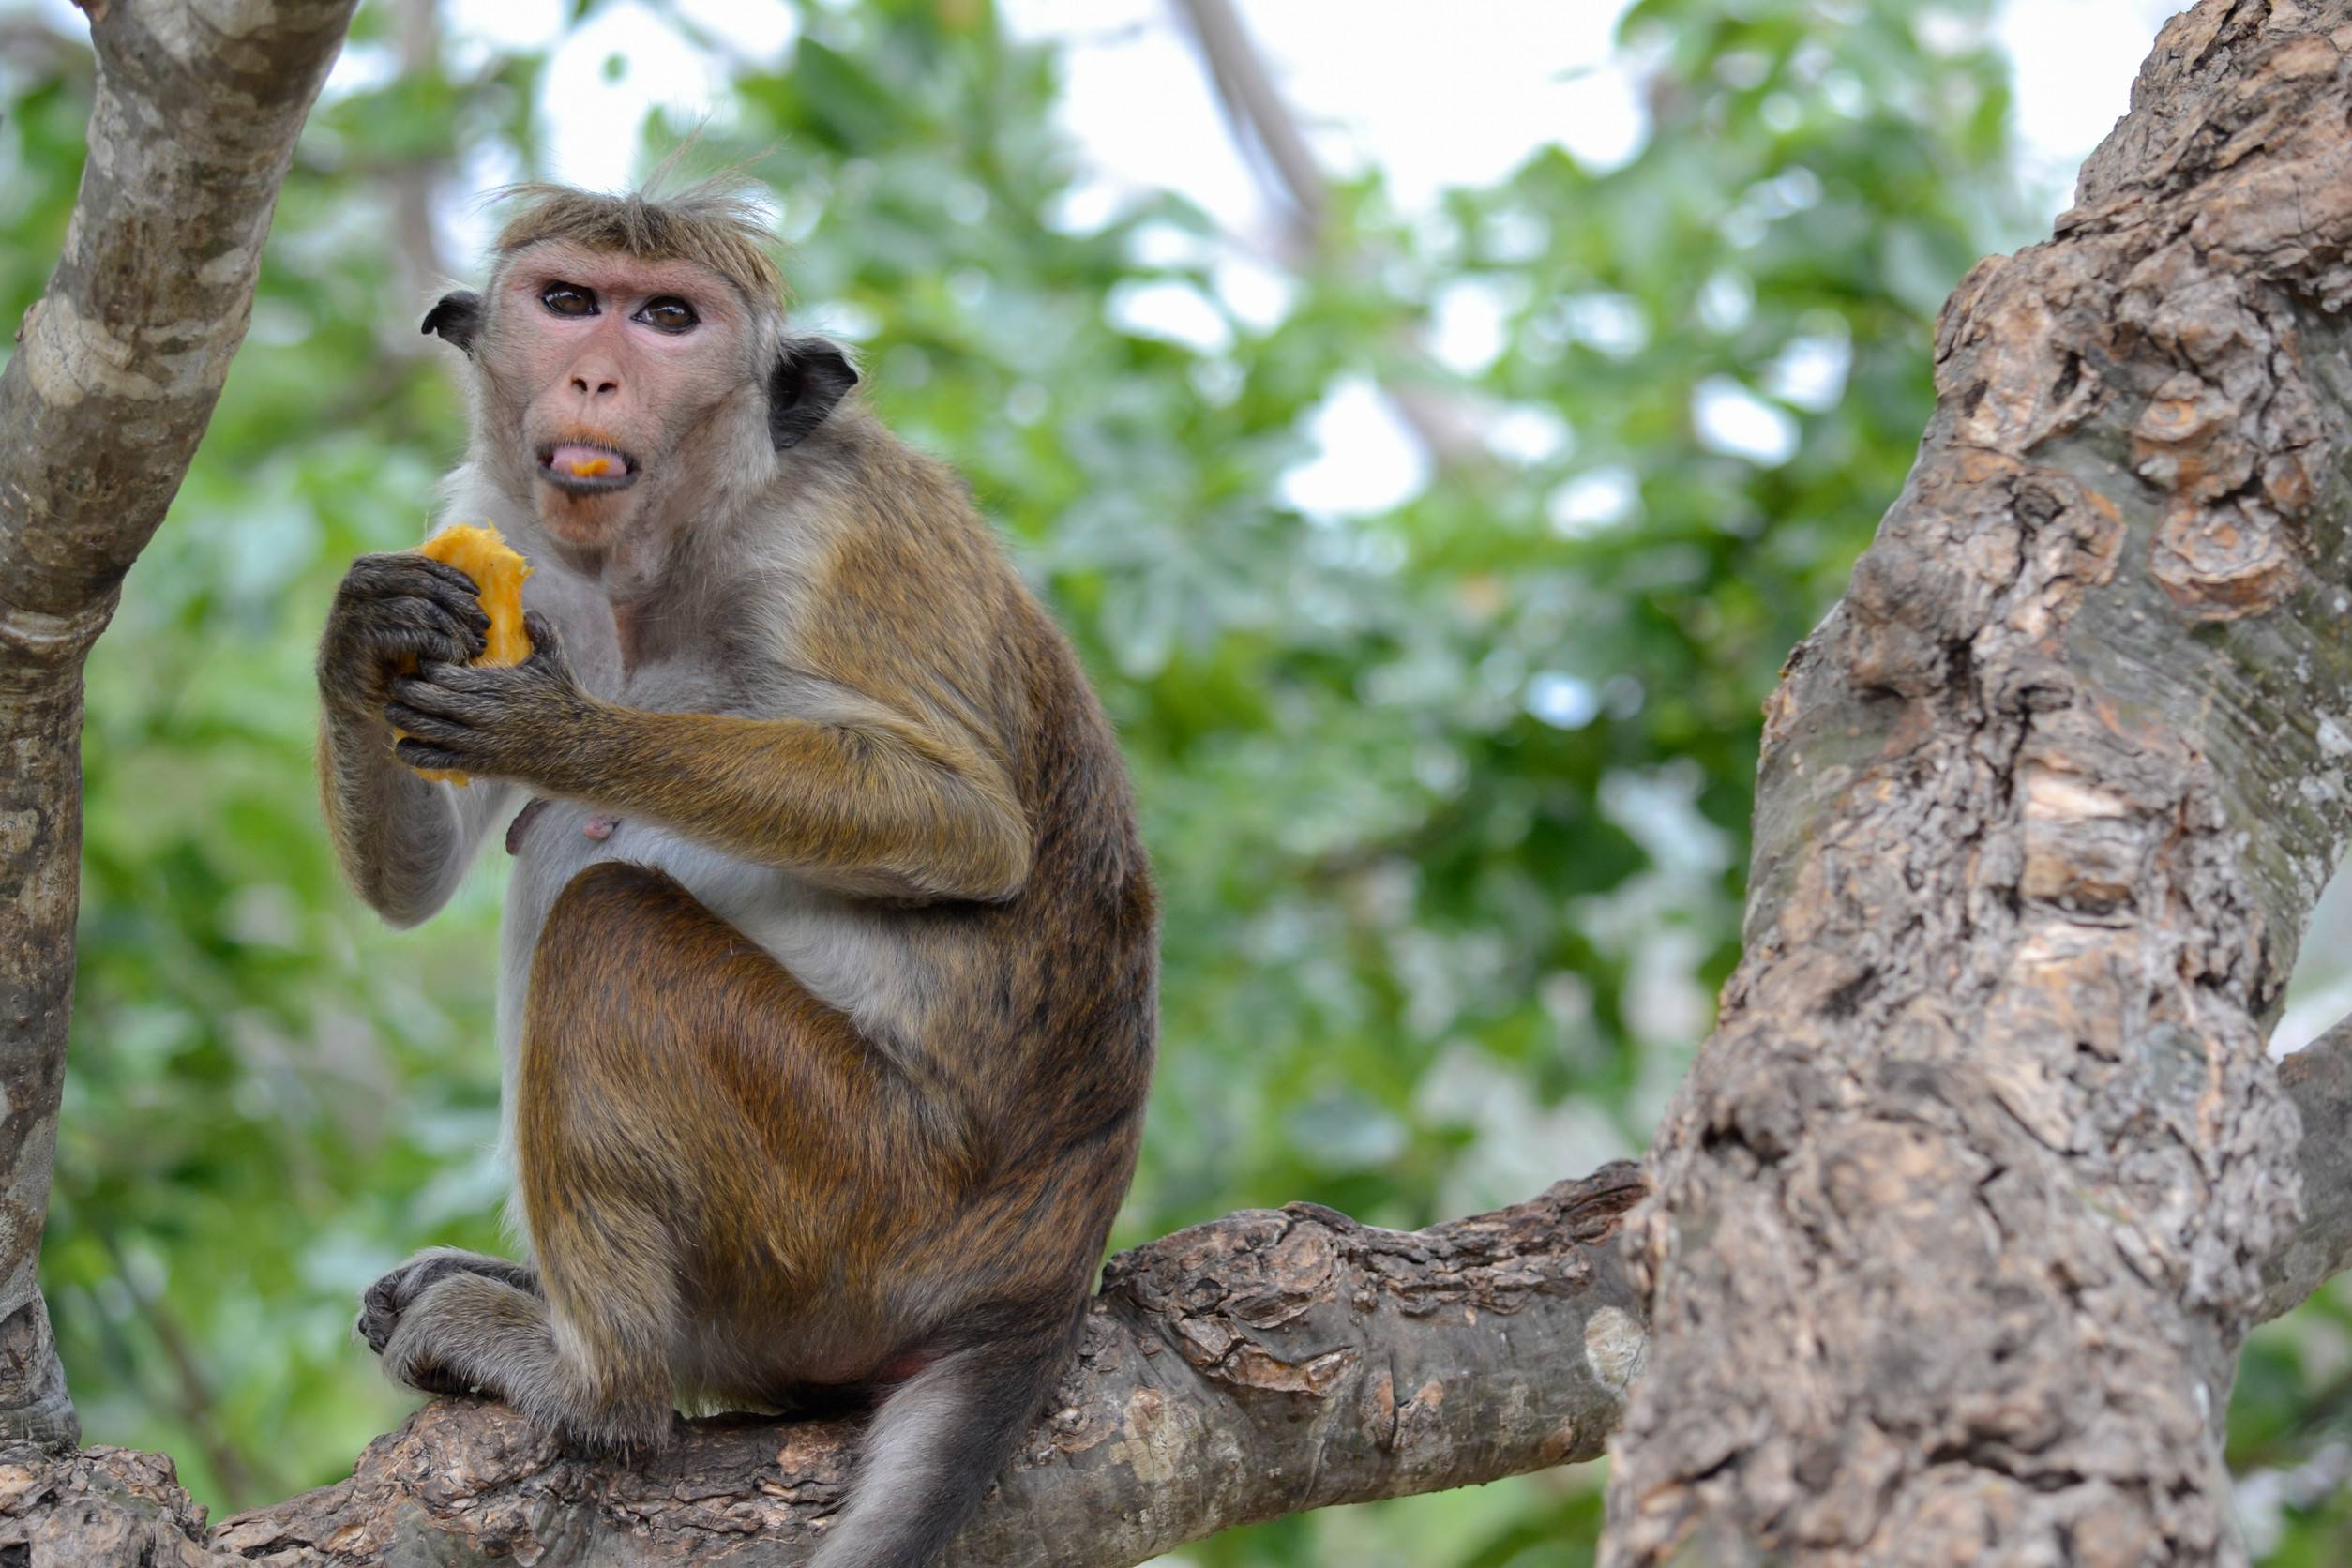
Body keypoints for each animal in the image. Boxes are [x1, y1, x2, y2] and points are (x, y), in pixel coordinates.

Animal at [315, 181, 1157, 1568]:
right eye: (569, 302)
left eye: (669, 318)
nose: (596, 375)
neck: (651, 569)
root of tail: (1038, 1285)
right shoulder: (496, 531)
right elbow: (413, 884)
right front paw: (362, 637)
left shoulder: (830, 546)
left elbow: (965, 825)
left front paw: (566, 734)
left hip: (858, 1209)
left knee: (606, 916)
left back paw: (598, 1383)